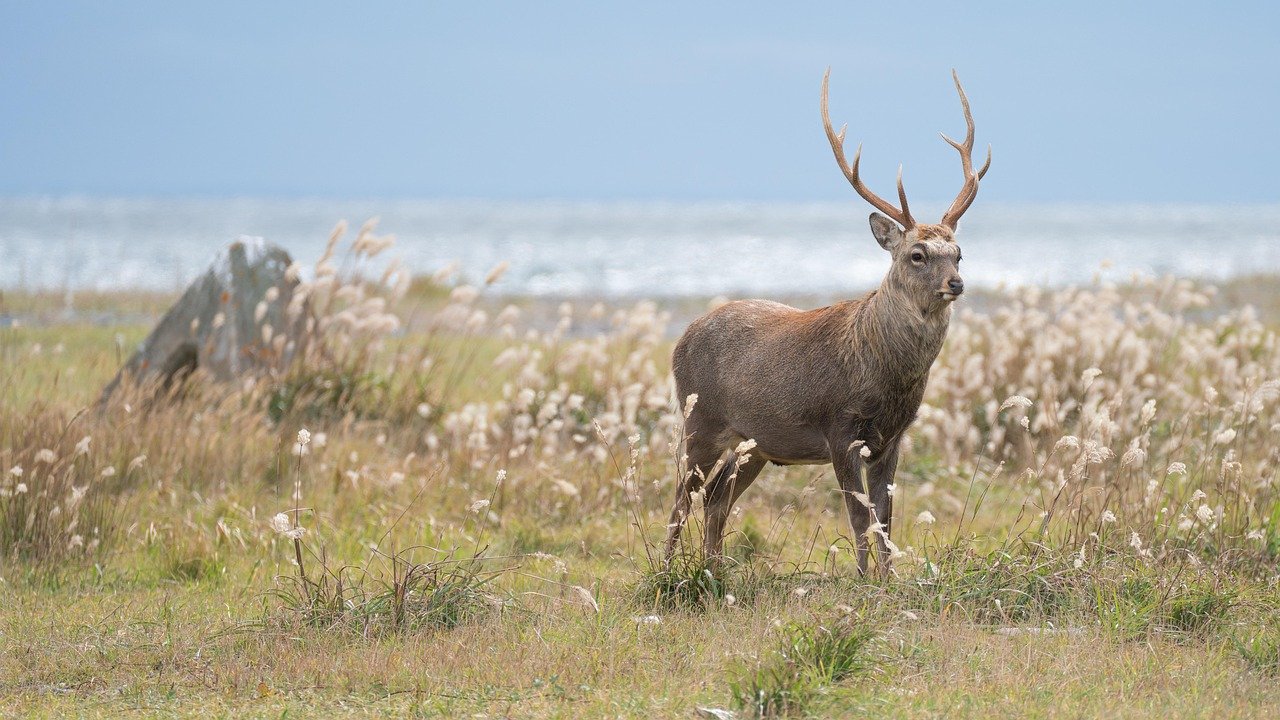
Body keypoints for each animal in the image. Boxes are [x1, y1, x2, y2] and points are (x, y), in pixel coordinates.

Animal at [664, 69, 990, 575]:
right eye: (917, 254)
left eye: (958, 252)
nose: (956, 283)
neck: (883, 375)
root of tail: (681, 338)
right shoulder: (838, 426)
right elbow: (858, 516)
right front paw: (862, 580)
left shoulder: (893, 437)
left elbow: (886, 518)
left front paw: (889, 578)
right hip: (699, 417)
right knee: (681, 497)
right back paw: (666, 572)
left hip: (755, 441)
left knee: (716, 497)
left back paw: (715, 571)